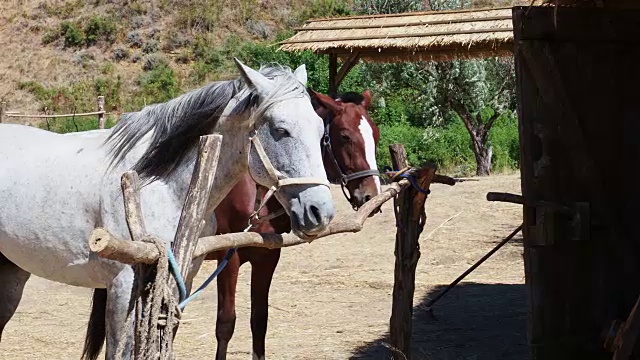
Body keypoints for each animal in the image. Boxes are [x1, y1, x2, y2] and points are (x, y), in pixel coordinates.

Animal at [0, 57, 336, 358]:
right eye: (281, 130)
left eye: (322, 131)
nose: (320, 212)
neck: (156, 183)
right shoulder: (122, 286)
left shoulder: (178, 280)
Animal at [209, 88, 380, 360]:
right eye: (345, 137)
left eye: (375, 134)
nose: (371, 195)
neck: (255, 191)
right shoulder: (229, 257)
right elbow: (225, 323)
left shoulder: (267, 257)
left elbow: (259, 320)